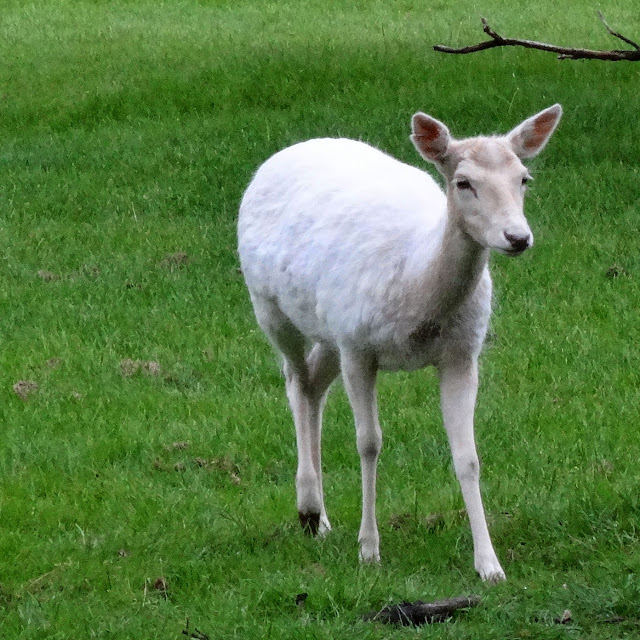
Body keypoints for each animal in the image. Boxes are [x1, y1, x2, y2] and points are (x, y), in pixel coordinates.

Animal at [237, 104, 562, 581]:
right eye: (463, 182)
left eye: (524, 177)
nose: (518, 238)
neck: (418, 281)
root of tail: (293, 148)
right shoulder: (358, 348)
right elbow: (368, 443)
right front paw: (369, 551)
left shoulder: (462, 352)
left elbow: (468, 456)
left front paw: (489, 565)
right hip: (272, 308)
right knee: (296, 382)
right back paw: (310, 510)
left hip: (330, 327)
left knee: (314, 383)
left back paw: (321, 518)